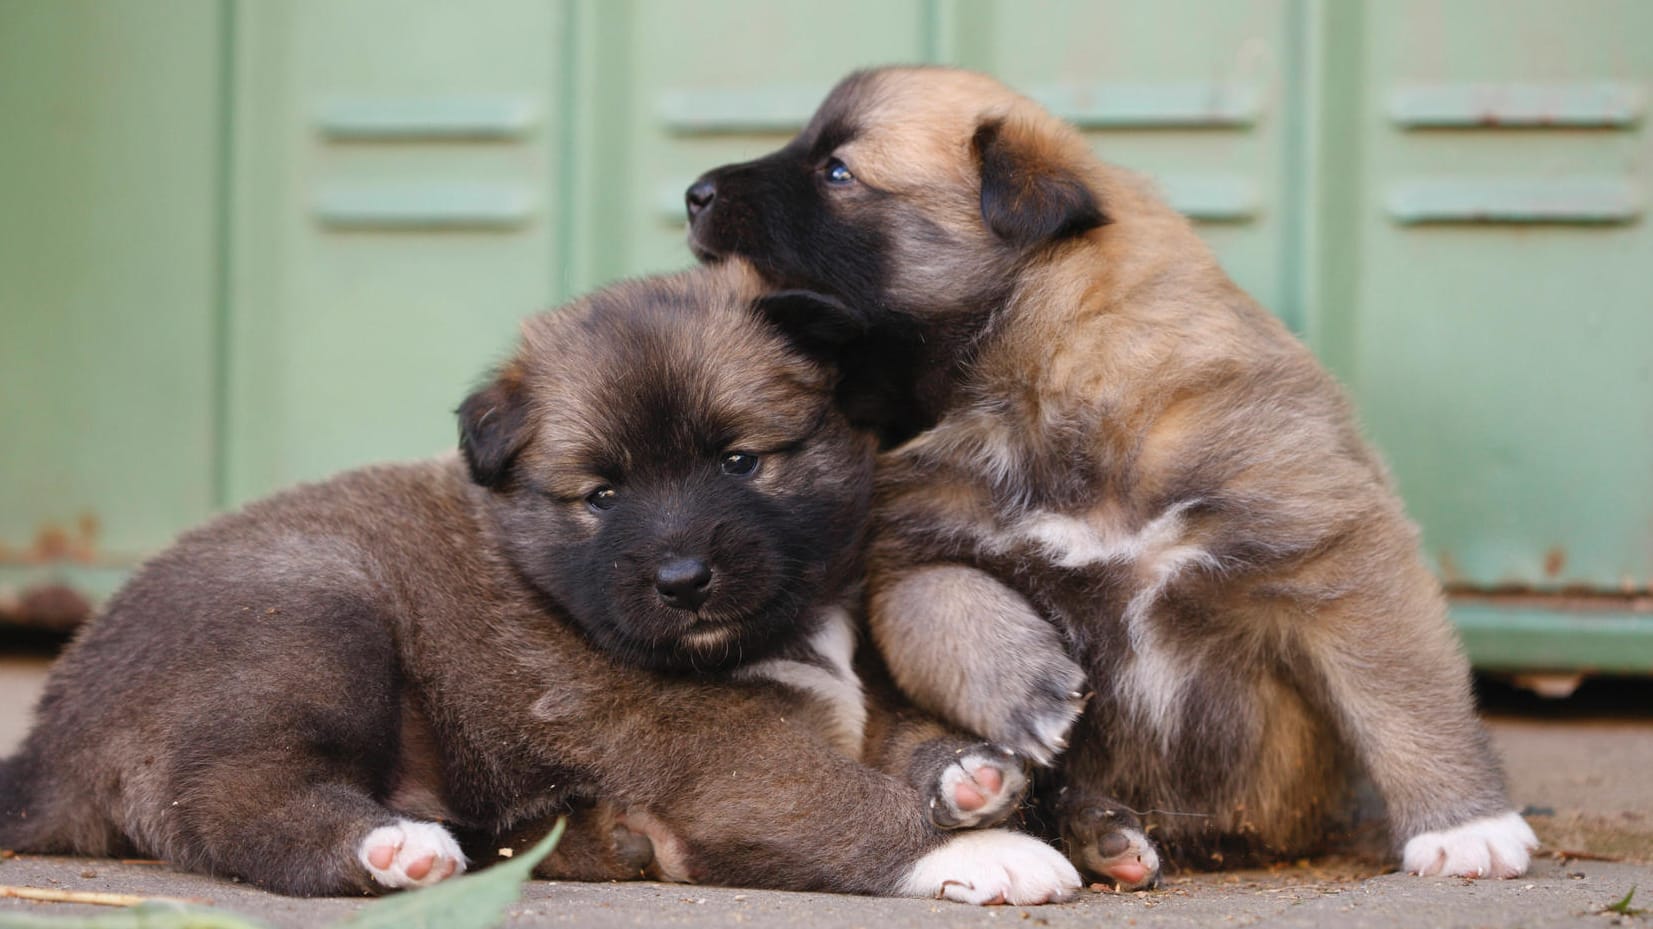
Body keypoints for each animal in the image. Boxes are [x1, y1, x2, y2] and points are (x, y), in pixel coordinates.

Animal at [0, 262, 1077, 905]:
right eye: (601, 494)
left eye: (739, 461)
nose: (683, 577)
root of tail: (52, 738)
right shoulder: (723, 767)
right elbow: (844, 803)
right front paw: (982, 850)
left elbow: (898, 736)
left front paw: (968, 774)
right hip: (307, 614)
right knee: (230, 798)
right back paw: (392, 848)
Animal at [684, 61, 1533, 886]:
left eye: (835, 171)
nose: (693, 194)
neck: (1041, 385)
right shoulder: (909, 551)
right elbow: (937, 605)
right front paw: (1025, 686)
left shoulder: (1326, 541)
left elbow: (1401, 694)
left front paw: (1465, 825)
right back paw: (1098, 828)